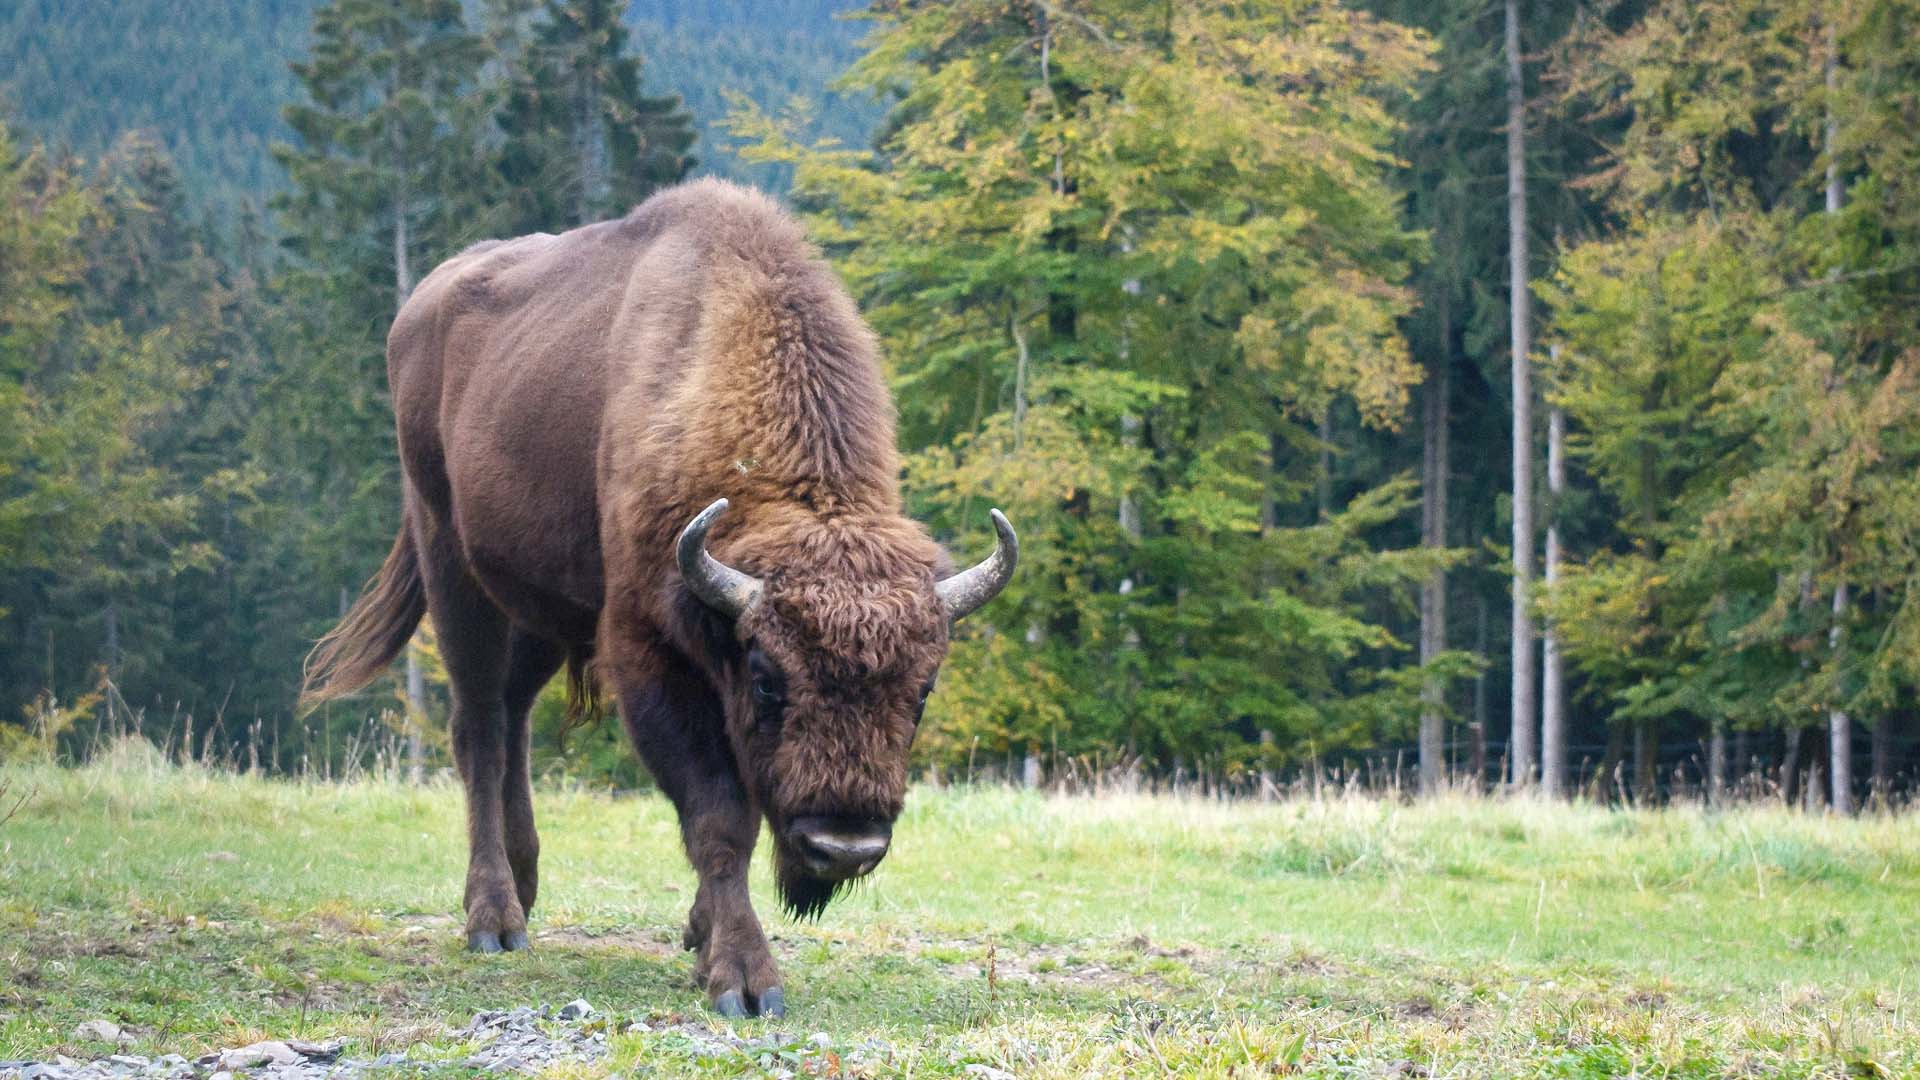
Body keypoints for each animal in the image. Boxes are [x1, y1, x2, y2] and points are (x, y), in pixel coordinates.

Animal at [297, 178, 1013, 1014]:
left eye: (922, 690)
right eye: (767, 678)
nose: (843, 846)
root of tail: (419, 305)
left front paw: (702, 935)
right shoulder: (648, 654)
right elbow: (719, 815)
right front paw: (743, 978)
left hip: (541, 610)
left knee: (512, 716)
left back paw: (527, 882)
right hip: (451, 564)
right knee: (478, 727)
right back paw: (494, 920)